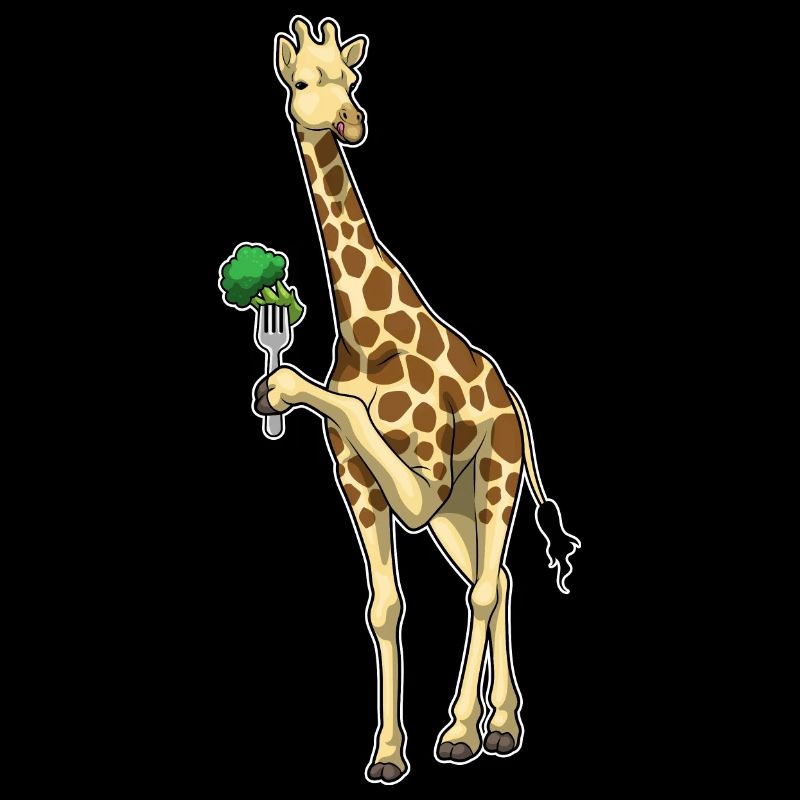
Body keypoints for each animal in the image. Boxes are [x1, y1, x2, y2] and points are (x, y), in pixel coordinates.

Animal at [256, 16, 581, 785]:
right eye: (304, 81)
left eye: (353, 78)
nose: (351, 122)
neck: (364, 330)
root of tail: (516, 405)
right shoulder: (358, 482)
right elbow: (383, 608)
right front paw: (386, 753)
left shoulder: (421, 484)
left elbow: (345, 408)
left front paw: (282, 385)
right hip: (458, 513)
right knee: (504, 579)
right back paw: (504, 726)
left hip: (493, 477)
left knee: (487, 586)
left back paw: (465, 732)